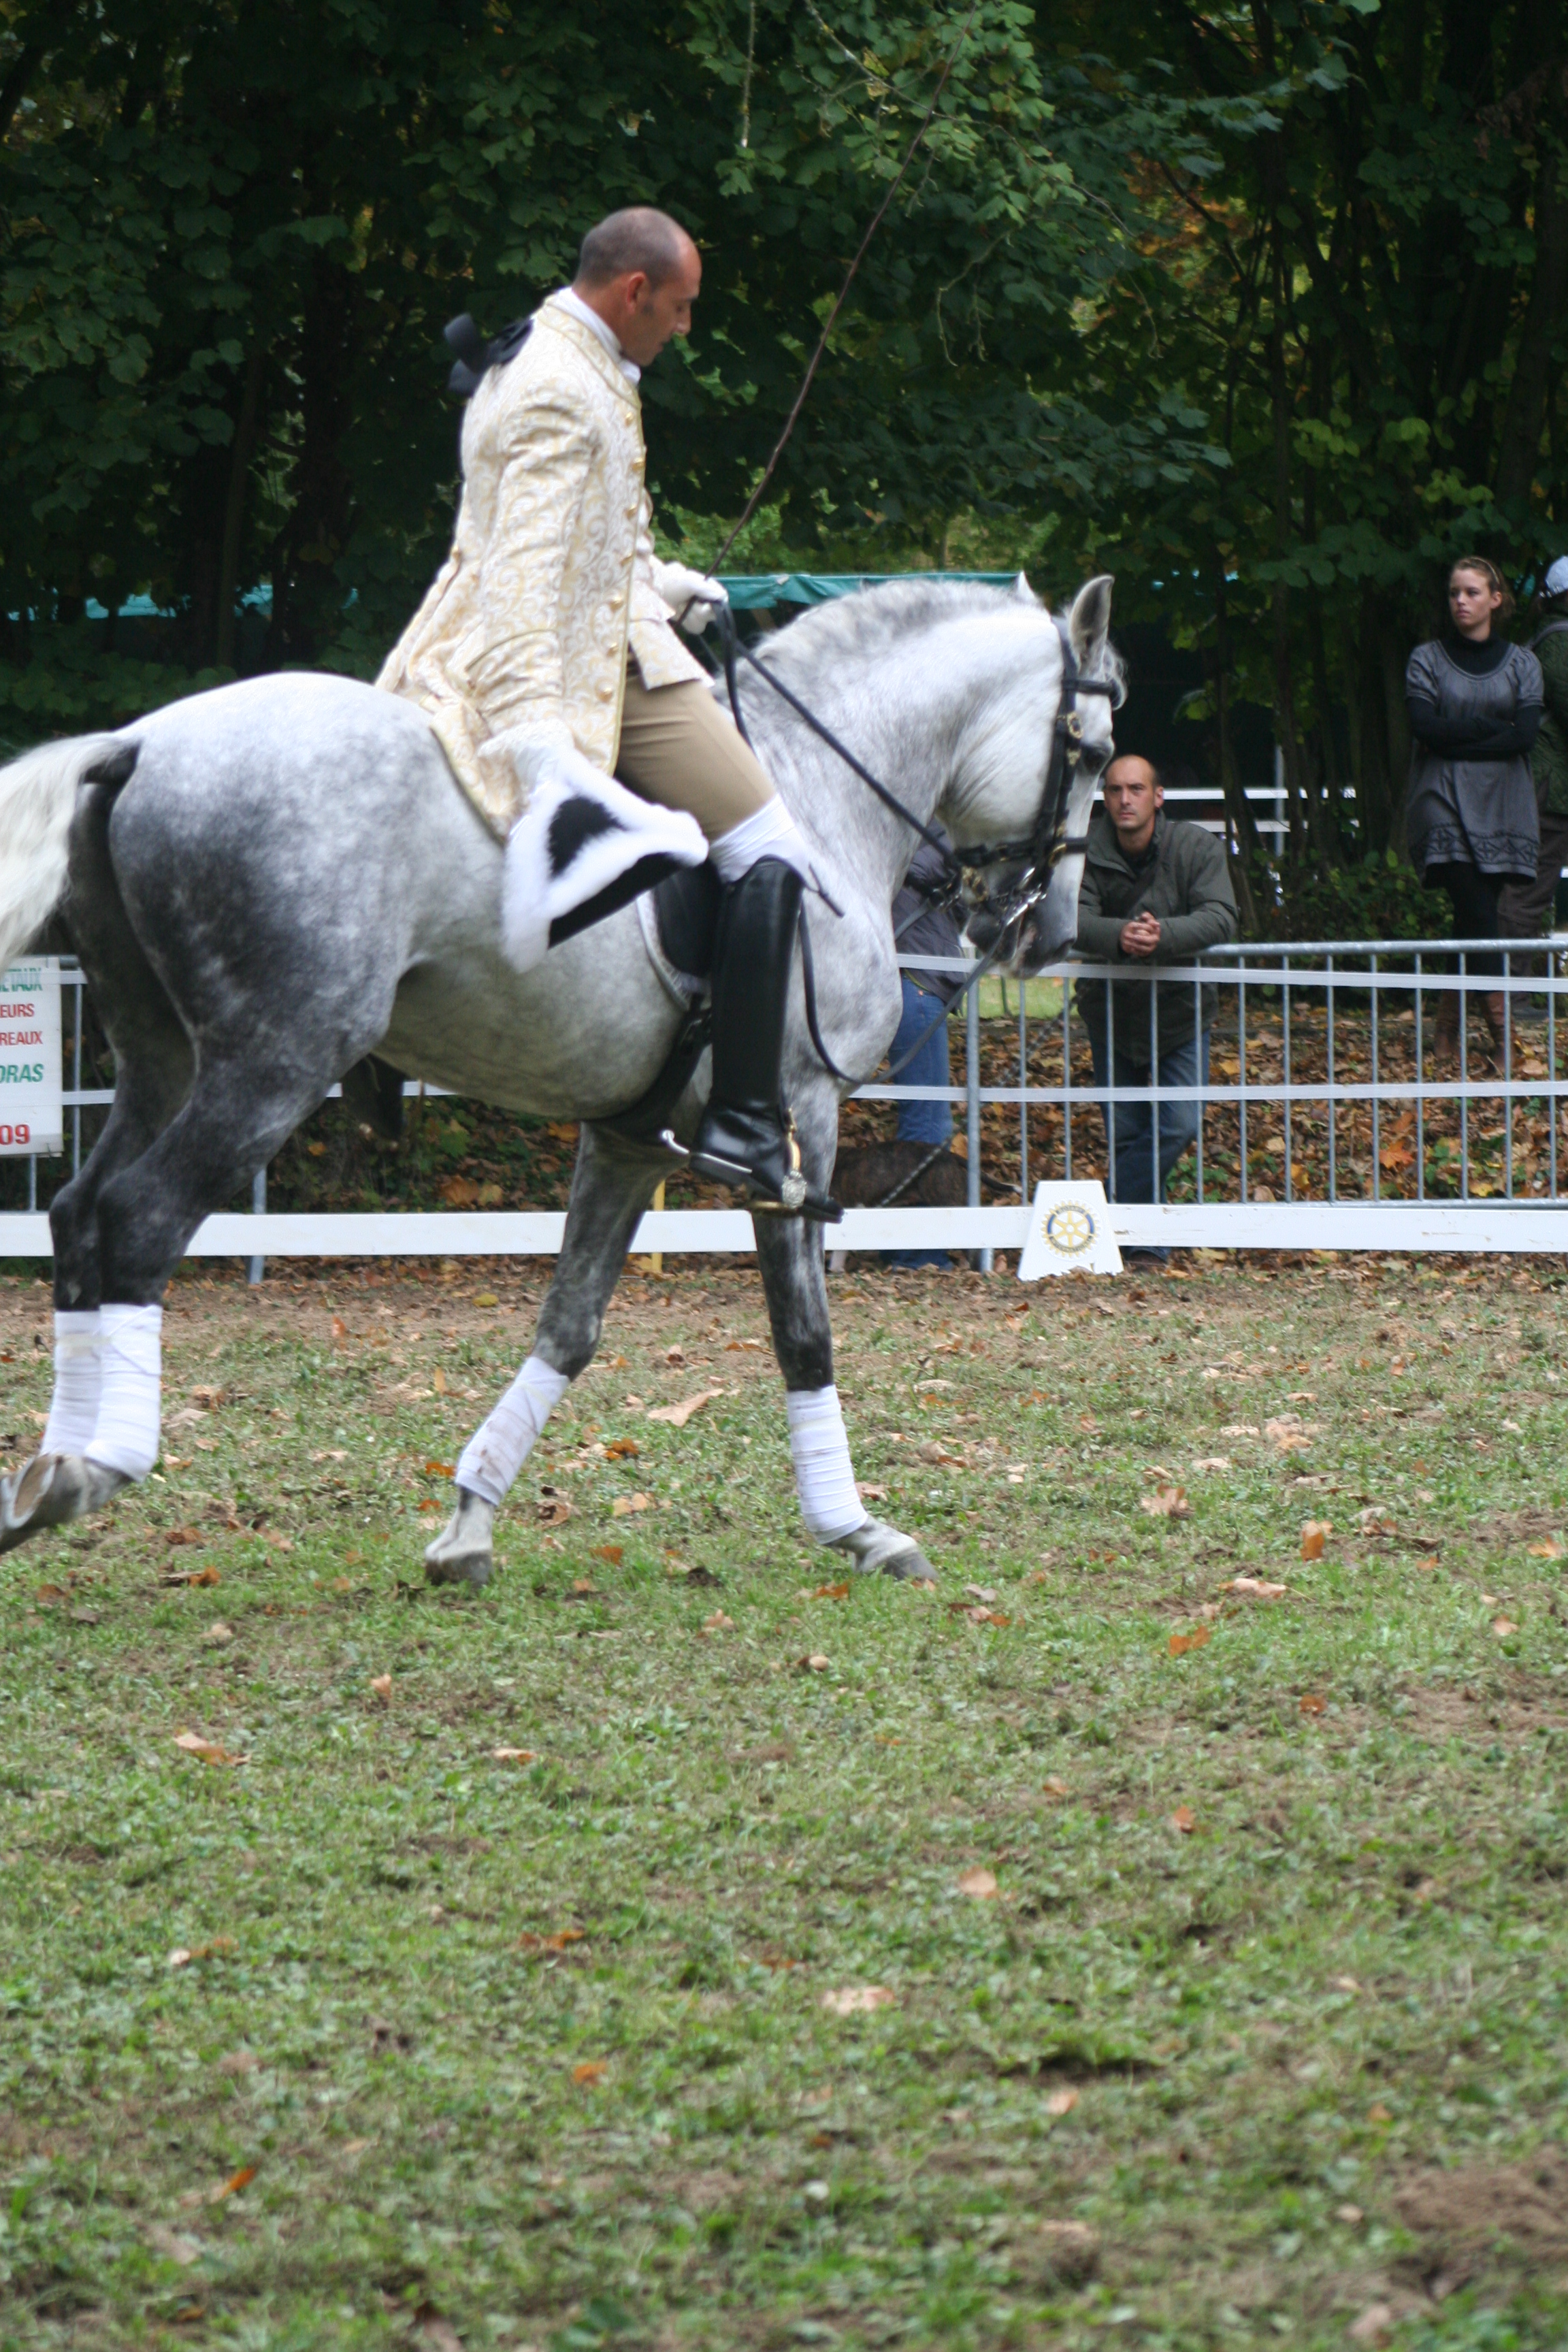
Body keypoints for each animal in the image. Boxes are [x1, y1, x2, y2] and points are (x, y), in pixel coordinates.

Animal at [0, 573, 1119, 1580]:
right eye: (1097, 751)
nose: (1047, 933)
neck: (828, 786)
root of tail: (141, 744)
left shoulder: (628, 1137)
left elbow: (570, 1325)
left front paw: (467, 1524)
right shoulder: (801, 1121)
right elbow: (804, 1336)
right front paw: (858, 1529)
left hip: (163, 1057)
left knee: (78, 1212)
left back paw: (46, 1472)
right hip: (272, 1064)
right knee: (140, 1219)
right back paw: (94, 1468)